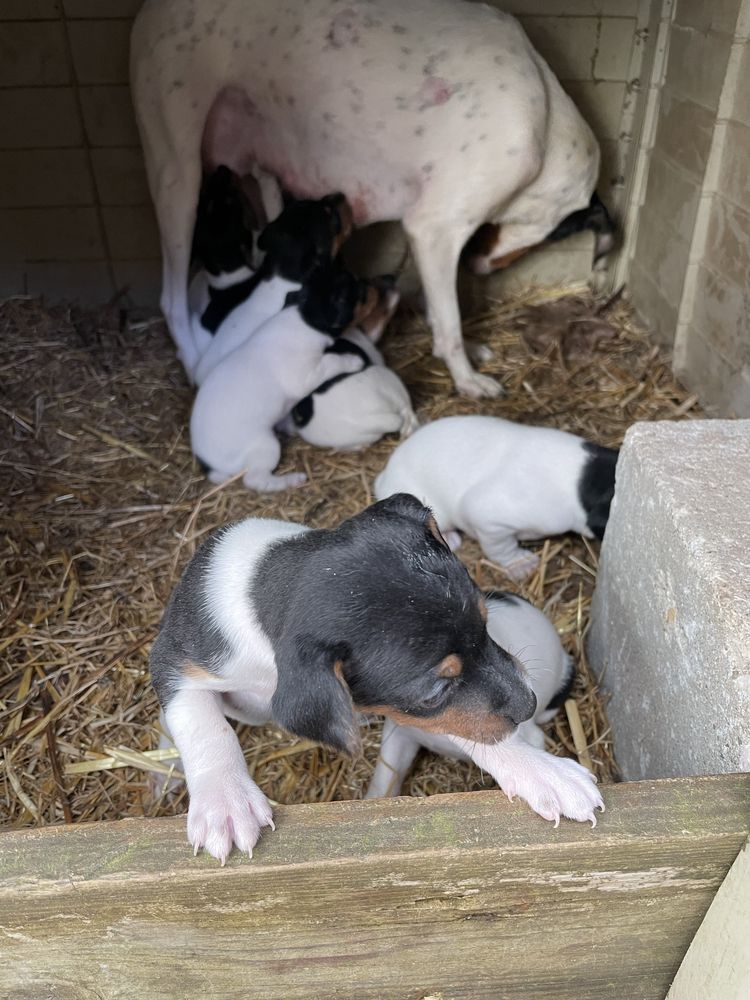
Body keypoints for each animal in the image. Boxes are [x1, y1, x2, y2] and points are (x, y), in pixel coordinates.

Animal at [151, 496, 540, 864]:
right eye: (433, 692)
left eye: (486, 625)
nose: (531, 704)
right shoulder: (173, 662)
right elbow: (205, 726)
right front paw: (226, 800)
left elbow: (466, 721)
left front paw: (536, 770)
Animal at [189, 260, 374, 490]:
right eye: (349, 293)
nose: (364, 280)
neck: (301, 317)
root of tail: (207, 463)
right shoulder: (307, 376)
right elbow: (332, 361)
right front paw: (353, 360)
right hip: (265, 445)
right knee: (255, 479)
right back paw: (290, 480)